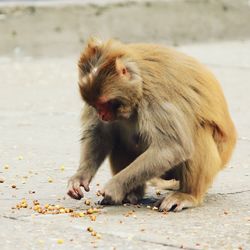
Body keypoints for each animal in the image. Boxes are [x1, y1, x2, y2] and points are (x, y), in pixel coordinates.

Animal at [67, 37, 236, 211]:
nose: (101, 115)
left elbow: (172, 147)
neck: (140, 83)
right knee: (119, 139)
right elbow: (100, 135)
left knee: (198, 133)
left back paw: (188, 195)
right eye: (95, 105)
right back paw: (132, 194)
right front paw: (80, 178)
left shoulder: (157, 97)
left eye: (105, 103)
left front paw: (114, 186)